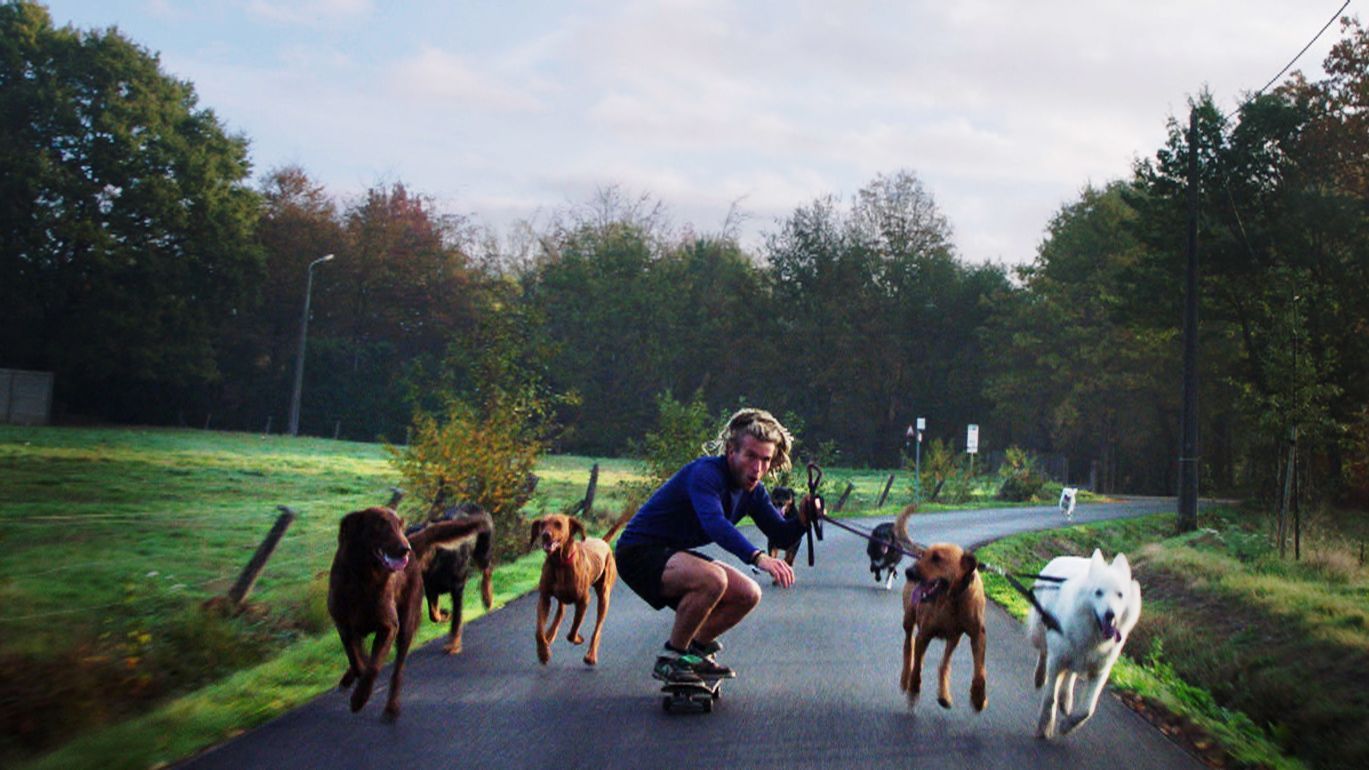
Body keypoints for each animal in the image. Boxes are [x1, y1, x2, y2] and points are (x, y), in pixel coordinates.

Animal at [405, 490, 498, 652]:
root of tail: (476, 505)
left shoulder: (457, 588)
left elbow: (457, 618)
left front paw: (453, 644)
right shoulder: (430, 589)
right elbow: (433, 614)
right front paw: (445, 614)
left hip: (482, 551)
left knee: (487, 570)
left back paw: (487, 598)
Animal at [528, 512, 629, 663]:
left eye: (558, 524)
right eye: (542, 524)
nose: (545, 535)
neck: (560, 563)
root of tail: (603, 542)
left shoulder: (583, 600)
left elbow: (573, 630)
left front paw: (577, 639)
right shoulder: (544, 598)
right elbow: (538, 631)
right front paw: (543, 653)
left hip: (604, 595)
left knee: (597, 628)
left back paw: (591, 655)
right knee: (560, 612)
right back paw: (550, 635)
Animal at [1029, 545, 1144, 739]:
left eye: (1120, 595)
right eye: (1098, 592)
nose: (1110, 614)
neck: (1093, 636)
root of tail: (1064, 557)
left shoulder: (1099, 672)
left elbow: (1087, 710)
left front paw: (1067, 725)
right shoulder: (1057, 660)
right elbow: (1050, 697)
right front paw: (1045, 726)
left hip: (1078, 659)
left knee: (1071, 674)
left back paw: (1066, 699)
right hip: (1038, 631)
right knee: (1044, 652)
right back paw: (1040, 677)